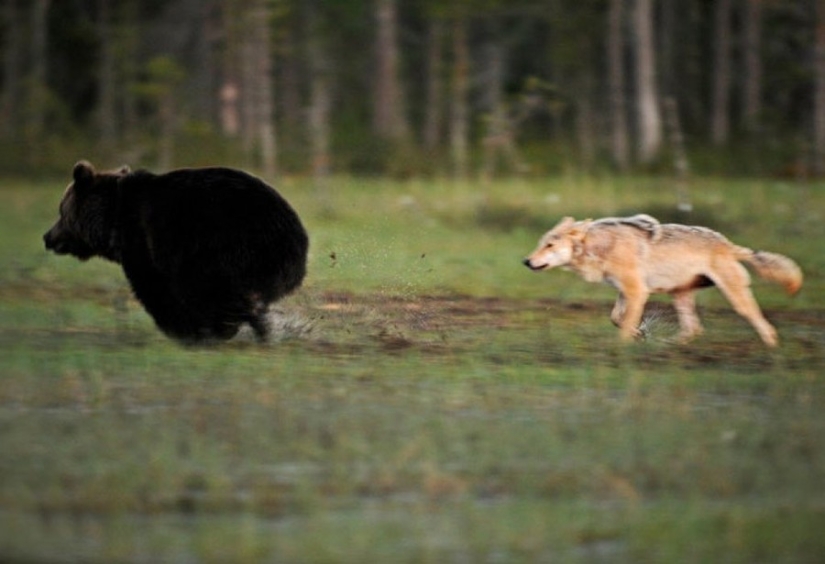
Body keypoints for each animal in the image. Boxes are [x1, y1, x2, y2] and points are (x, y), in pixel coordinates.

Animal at [44, 160, 308, 344]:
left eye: (61, 211)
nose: (47, 237)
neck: (112, 220)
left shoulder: (144, 240)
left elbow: (155, 287)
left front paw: (184, 330)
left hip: (222, 246)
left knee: (210, 290)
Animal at [524, 214, 800, 346]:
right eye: (540, 244)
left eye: (550, 245)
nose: (526, 261)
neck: (599, 247)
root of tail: (728, 244)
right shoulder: (627, 292)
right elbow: (616, 318)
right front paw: (639, 334)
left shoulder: (637, 292)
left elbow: (623, 326)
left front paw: (621, 349)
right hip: (679, 296)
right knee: (693, 329)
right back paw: (666, 346)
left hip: (735, 299)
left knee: (765, 327)